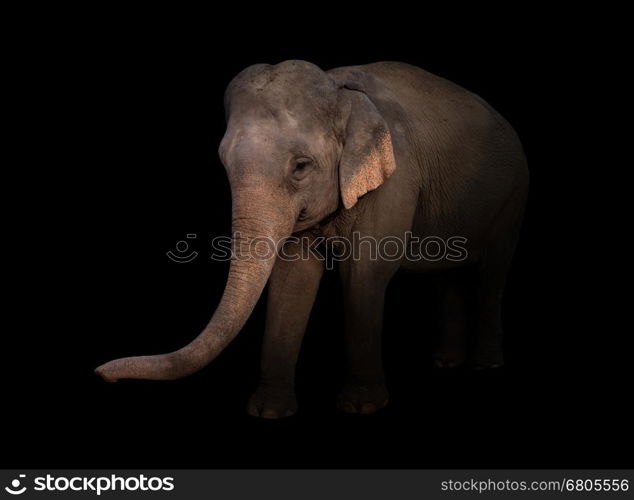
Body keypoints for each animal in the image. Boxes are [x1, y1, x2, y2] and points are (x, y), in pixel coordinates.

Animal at [95, 58, 528, 418]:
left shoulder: (398, 178)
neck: (341, 90)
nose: (103, 375)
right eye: (223, 162)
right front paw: (269, 411)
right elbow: (293, 278)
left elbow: (365, 274)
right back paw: (446, 364)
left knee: (493, 272)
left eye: (301, 167)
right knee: (449, 276)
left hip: (514, 195)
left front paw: (362, 407)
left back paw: (486, 364)